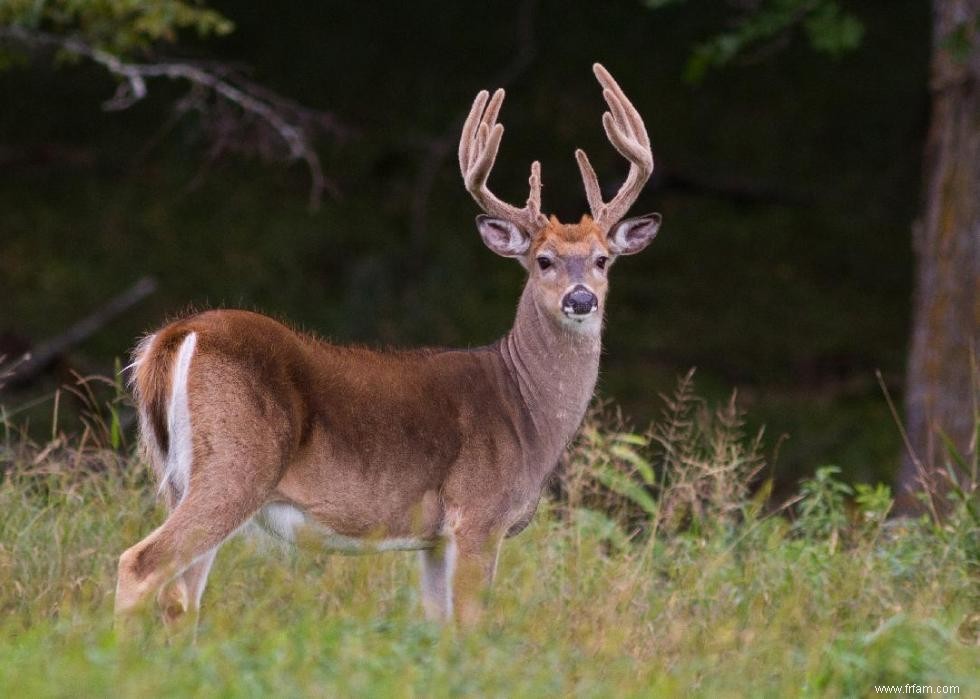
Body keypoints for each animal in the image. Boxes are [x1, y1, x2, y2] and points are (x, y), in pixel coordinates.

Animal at [118, 63, 664, 628]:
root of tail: (177, 334)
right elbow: (471, 627)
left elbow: (436, 627)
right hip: (236, 462)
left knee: (180, 596)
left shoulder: (434, 539)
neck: (526, 412)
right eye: (544, 260)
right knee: (141, 564)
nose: (581, 299)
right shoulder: (479, 514)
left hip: (181, 476)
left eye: (602, 259)